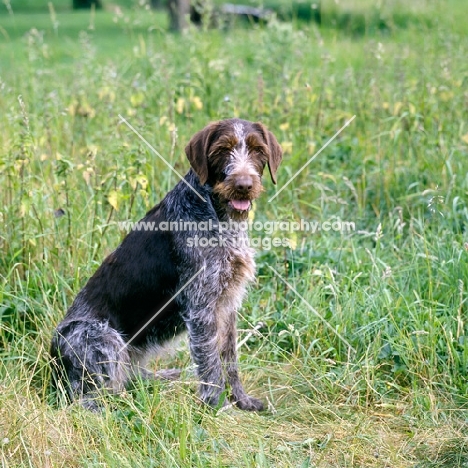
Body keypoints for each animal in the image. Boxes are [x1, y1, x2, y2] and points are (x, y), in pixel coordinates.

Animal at [51, 119, 286, 412]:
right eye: (222, 150)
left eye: (257, 150)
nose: (243, 185)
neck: (217, 215)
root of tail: (51, 361)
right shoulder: (201, 307)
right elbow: (211, 366)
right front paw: (216, 408)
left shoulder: (227, 303)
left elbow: (229, 358)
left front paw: (241, 401)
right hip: (100, 337)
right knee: (90, 399)